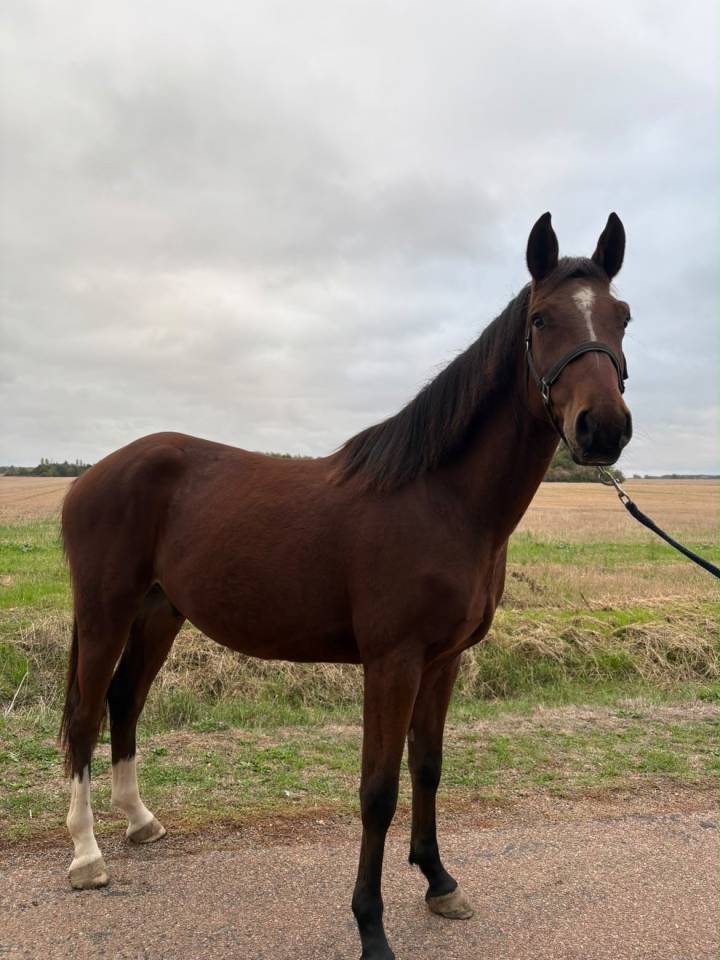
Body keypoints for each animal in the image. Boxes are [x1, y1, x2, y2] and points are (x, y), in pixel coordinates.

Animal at [59, 212, 632, 960]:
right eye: (541, 319)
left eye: (623, 316)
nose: (603, 428)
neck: (440, 498)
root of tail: (92, 475)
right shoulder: (392, 663)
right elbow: (378, 790)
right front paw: (371, 926)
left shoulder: (443, 661)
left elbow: (428, 768)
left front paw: (440, 881)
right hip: (105, 612)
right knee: (85, 715)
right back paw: (86, 856)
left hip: (160, 613)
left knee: (125, 702)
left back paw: (140, 821)